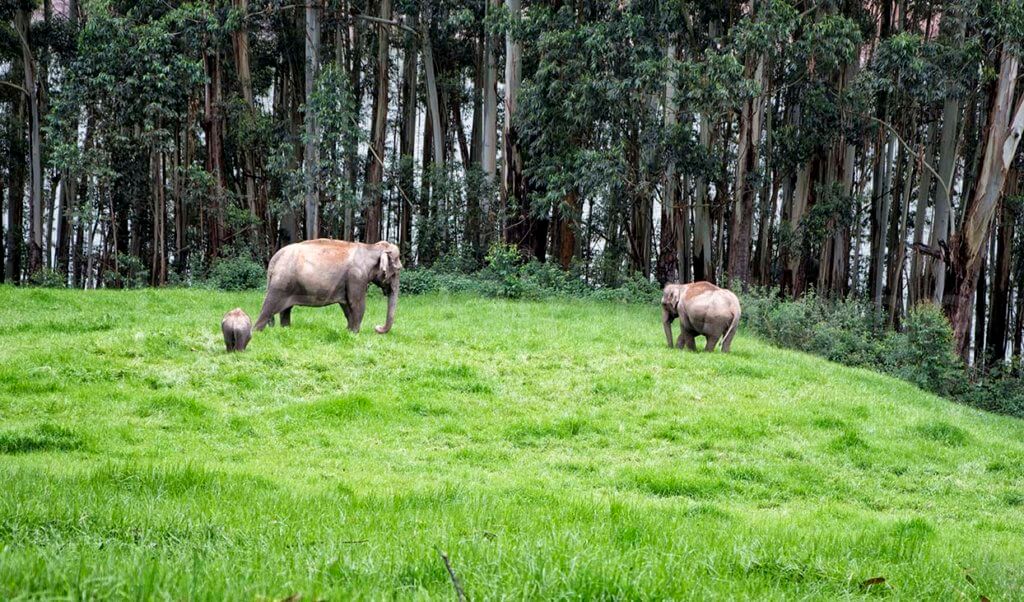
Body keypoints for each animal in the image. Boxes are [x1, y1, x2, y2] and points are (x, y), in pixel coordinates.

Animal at [253, 238, 401, 333]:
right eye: (398, 270)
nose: (377, 328)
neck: (370, 247)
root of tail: (275, 257)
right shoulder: (357, 277)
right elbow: (357, 304)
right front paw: (355, 333)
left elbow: (346, 305)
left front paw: (348, 332)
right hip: (281, 283)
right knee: (267, 309)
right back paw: (257, 332)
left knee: (285, 310)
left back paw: (286, 330)